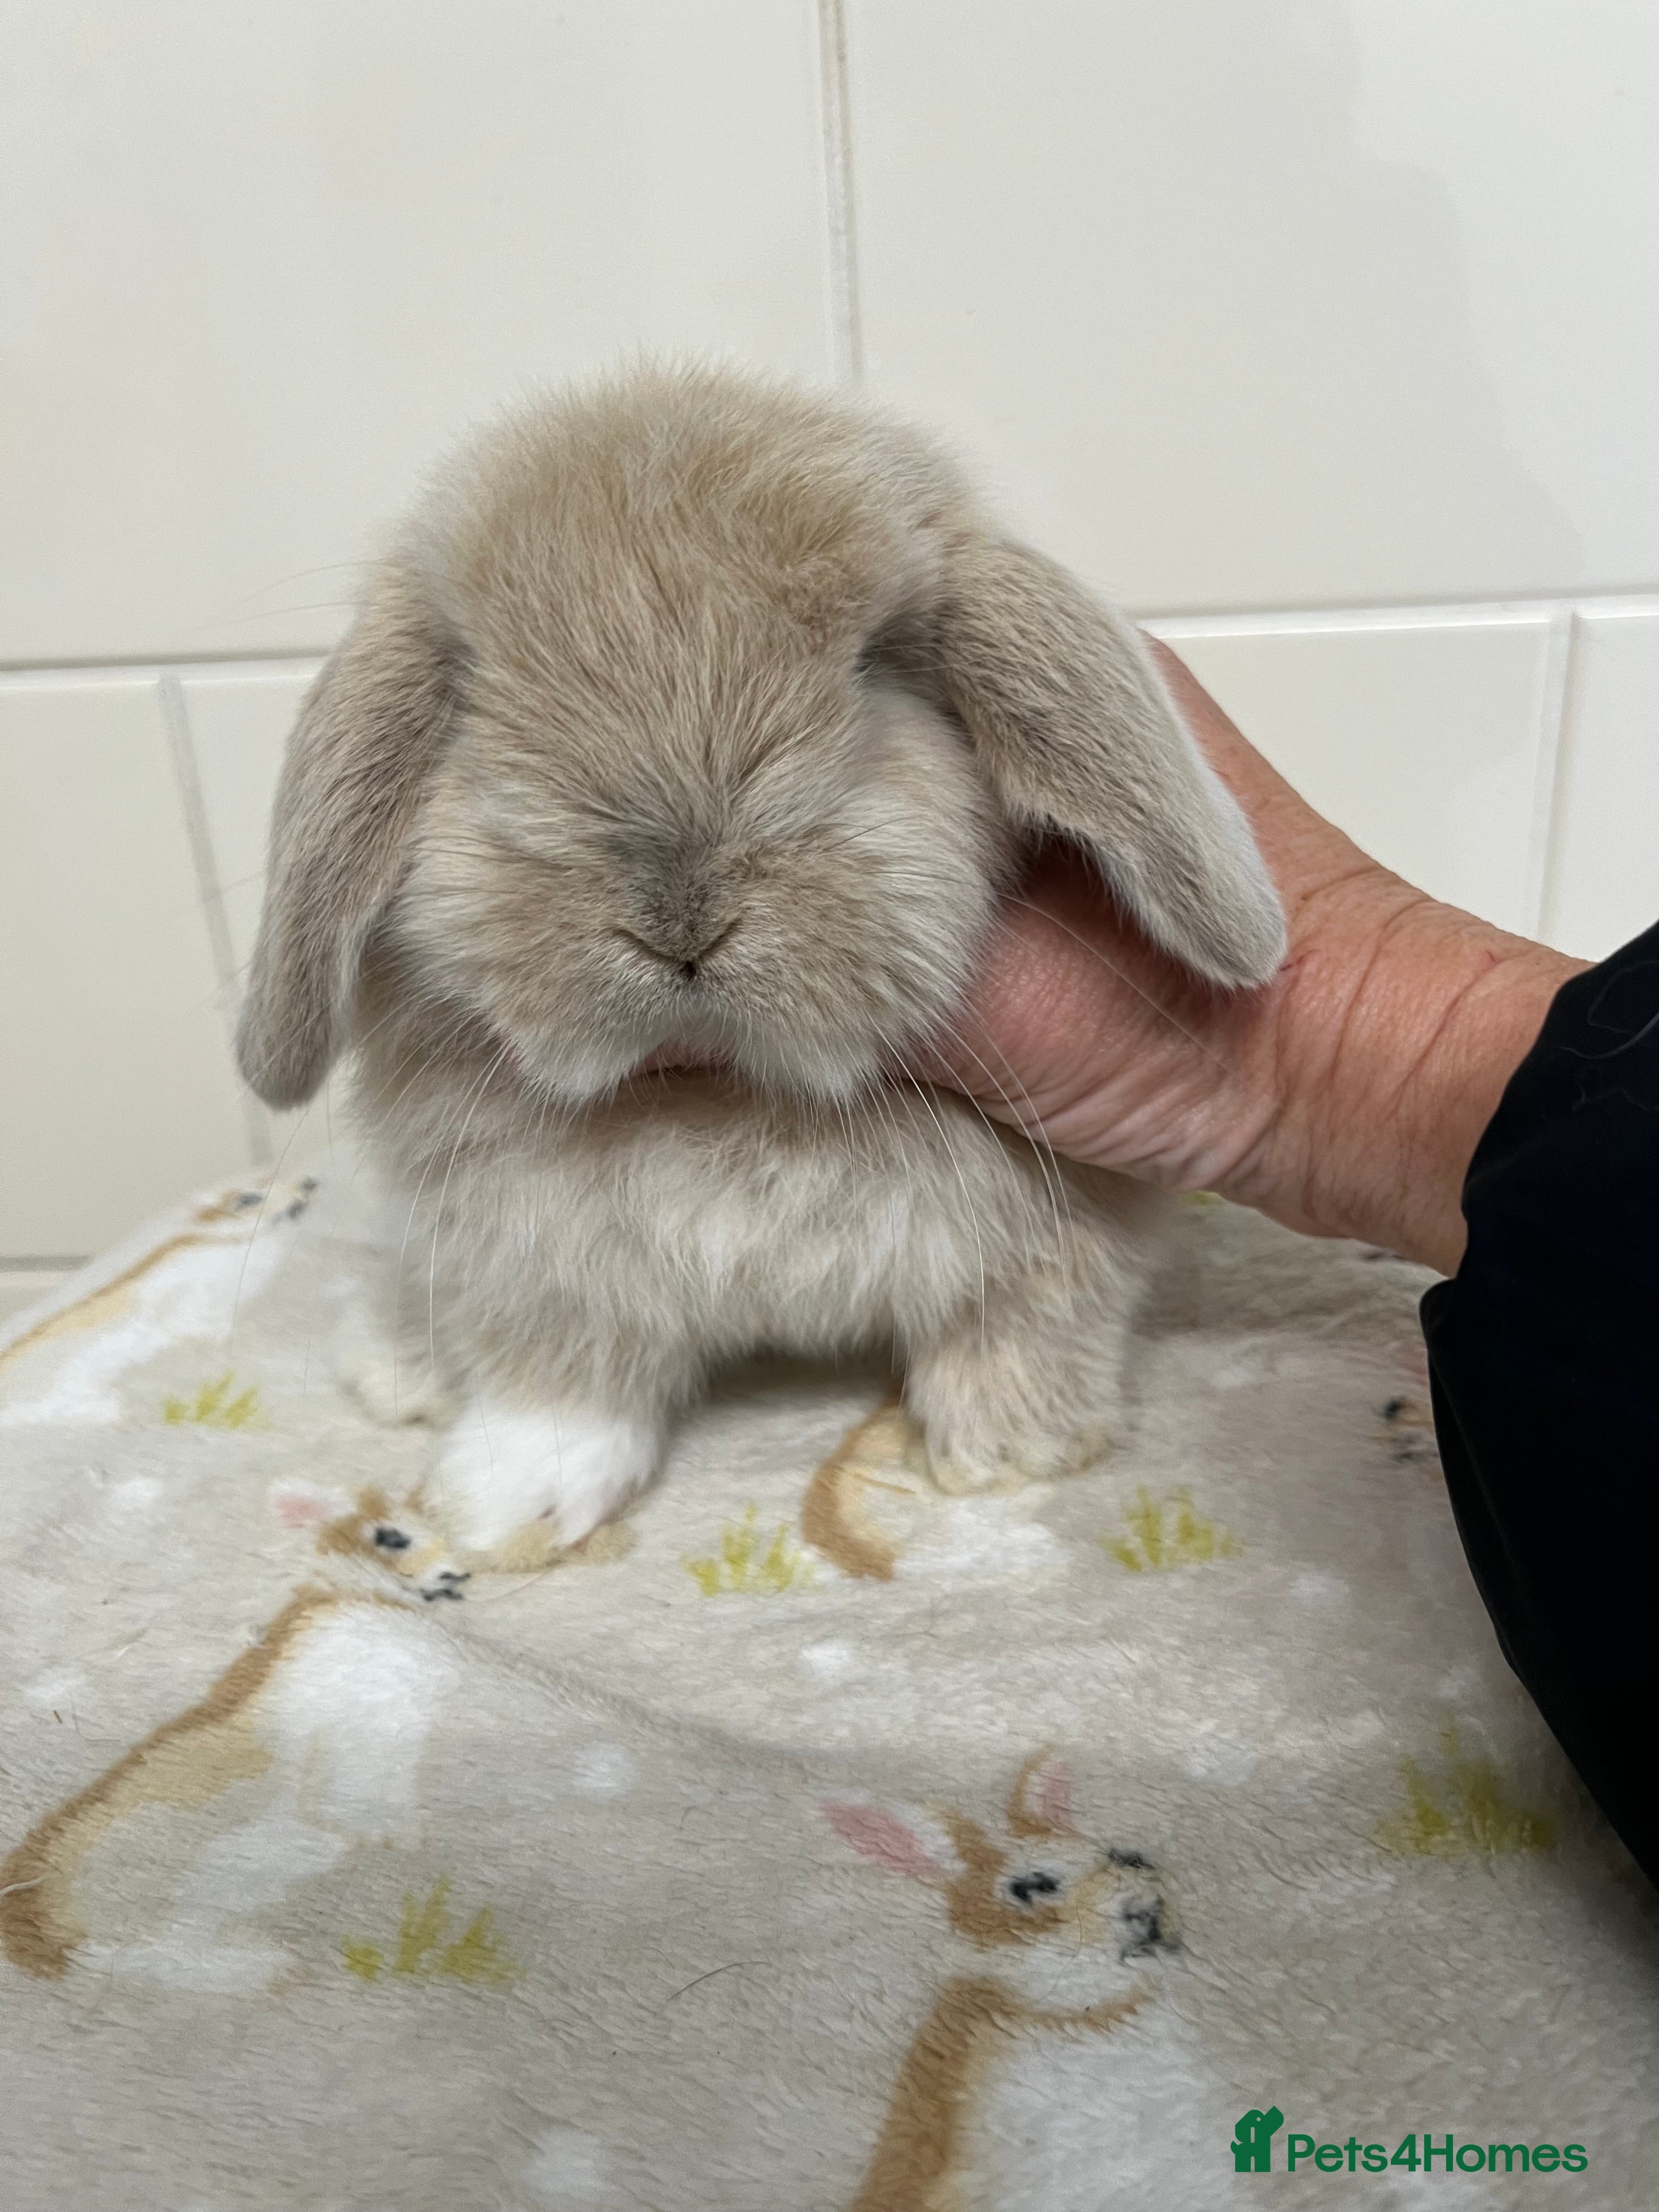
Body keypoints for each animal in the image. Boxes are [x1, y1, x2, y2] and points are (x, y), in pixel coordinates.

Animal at [237, 362, 1285, 1559]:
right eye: (469, 692)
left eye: (876, 667)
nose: (681, 920)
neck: (738, 1100)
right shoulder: (531, 1246)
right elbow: (558, 1373)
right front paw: (507, 1506)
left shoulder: (1060, 1228)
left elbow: (1028, 1318)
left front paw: (1007, 1455)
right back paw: (394, 1363)